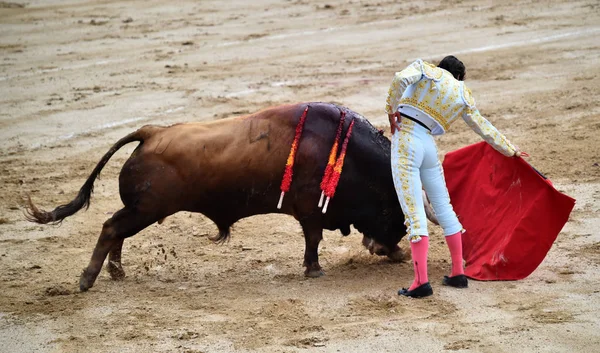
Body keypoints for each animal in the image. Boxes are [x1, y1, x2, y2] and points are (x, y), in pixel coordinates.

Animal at [24, 102, 432, 292]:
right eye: (397, 214)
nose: (395, 253)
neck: (348, 155)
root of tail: (152, 132)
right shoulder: (310, 212)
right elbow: (313, 240)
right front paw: (314, 270)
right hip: (146, 208)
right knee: (111, 227)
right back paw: (87, 280)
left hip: (139, 208)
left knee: (116, 229)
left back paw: (117, 271)